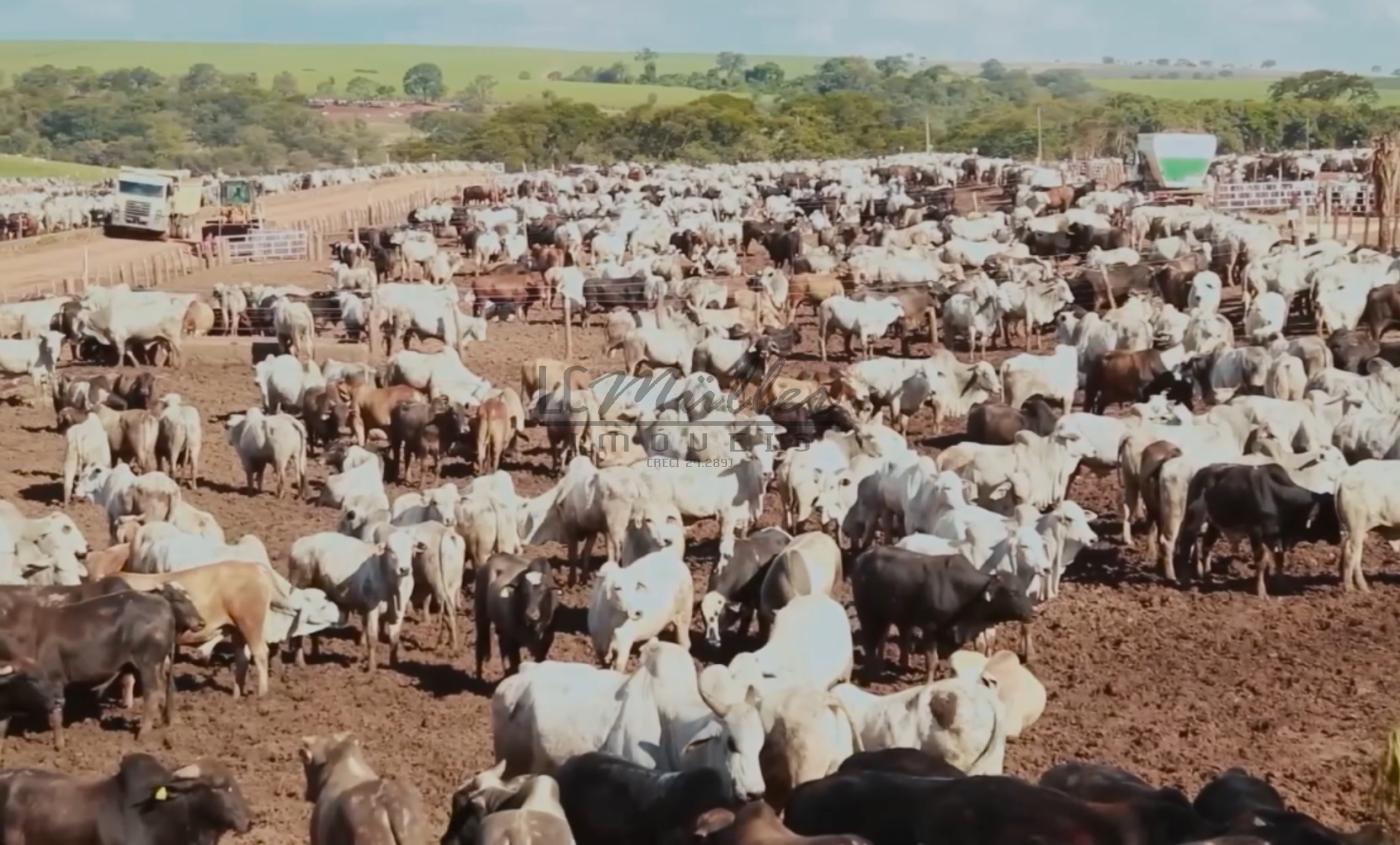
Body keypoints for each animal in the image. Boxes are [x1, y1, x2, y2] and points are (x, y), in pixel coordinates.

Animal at [845, 548, 1036, 679]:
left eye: (1023, 589)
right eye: (1012, 592)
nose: (1033, 613)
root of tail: (862, 558)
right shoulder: (930, 628)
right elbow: (932, 661)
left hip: (890, 616)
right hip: (867, 614)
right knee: (870, 642)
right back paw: (872, 672)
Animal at [1170, 461, 1344, 593]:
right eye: (1328, 515)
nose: (1339, 535)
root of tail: (1200, 473)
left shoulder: (1278, 537)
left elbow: (1279, 560)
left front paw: (1281, 585)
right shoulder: (1256, 532)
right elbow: (1261, 561)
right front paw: (1261, 591)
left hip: (1214, 524)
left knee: (1206, 547)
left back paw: (1207, 578)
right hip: (1194, 519)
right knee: (1185, 545)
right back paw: (1185, 581)